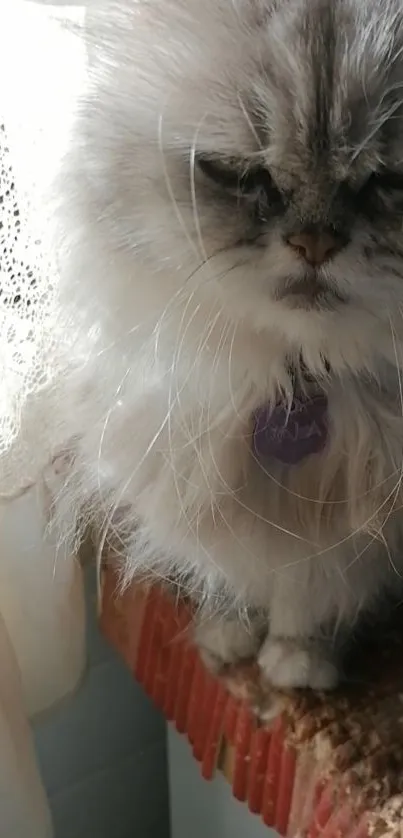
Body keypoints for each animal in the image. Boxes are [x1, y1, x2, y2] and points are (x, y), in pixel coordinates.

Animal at [54, 0, 403, 688]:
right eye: (238, 173)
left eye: (390, 179)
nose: (315, 244)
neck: (299, 380)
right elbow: (236, 580)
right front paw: (229, 640)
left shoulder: (354, 548)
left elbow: (311, 600)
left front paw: (298, 667)